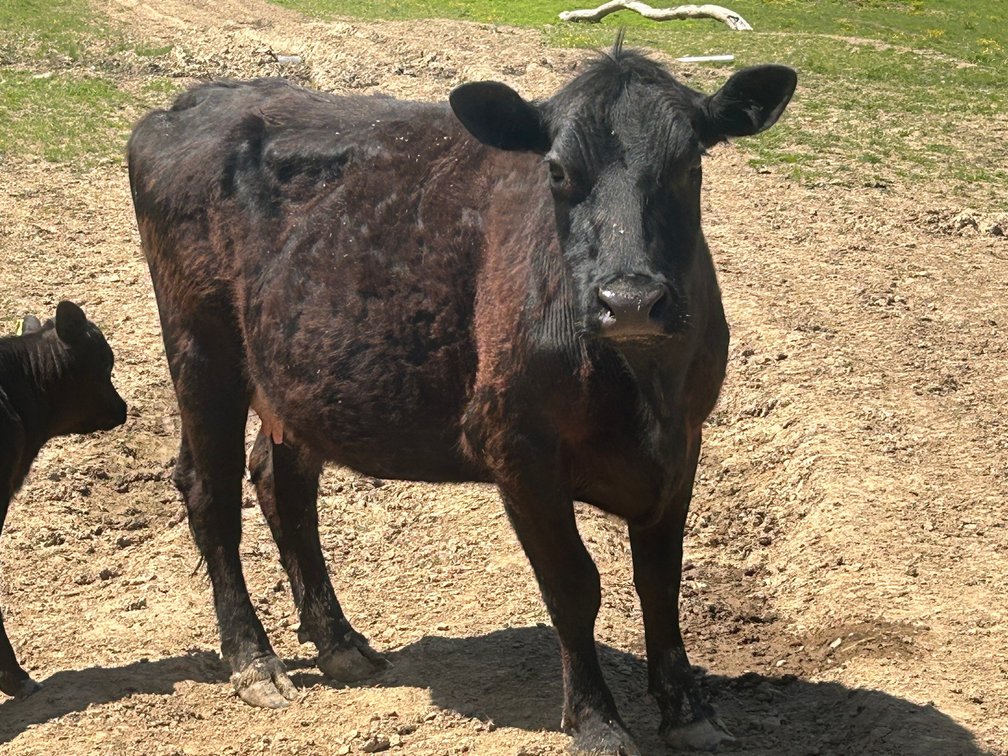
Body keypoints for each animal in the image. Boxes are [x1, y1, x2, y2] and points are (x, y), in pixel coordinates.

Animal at [127, 37, 795, 753]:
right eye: (557, 171)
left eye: (689, 165)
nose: (631, 300)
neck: (643, 382)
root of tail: (193, 101)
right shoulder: (516, 445)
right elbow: (573, 585)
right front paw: (596, 719)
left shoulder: (683, 441)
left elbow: (661, 580)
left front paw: (687, 709)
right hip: (201, 351)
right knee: (211, 493)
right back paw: (253, 659)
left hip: (295, 381)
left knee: (282, 485)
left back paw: (339, 642)